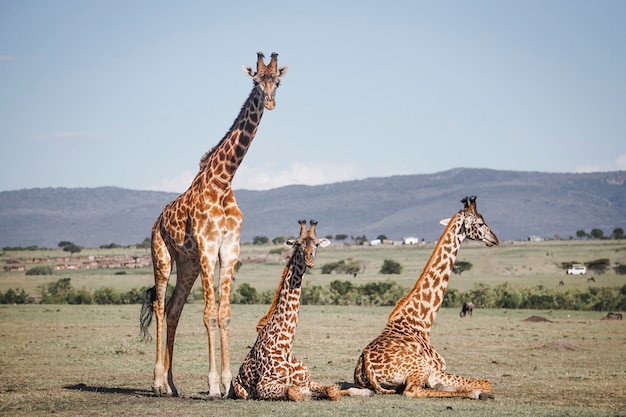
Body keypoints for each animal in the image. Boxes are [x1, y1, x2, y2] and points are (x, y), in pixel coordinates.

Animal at [138, 51, 286, 396]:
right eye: (256, 81)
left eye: (278, 81)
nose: (270, 102)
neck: (222, 181)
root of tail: (157, 221)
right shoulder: (208, 248)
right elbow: (209, 315)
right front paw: (214, 385)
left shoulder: (229, 250)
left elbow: (225, 314)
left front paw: (229, 382)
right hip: (162, 256)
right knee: (161, 306)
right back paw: (157, 382)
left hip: (188, 264)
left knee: (175, 309)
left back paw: (172, 385)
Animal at [233, 221, 370, 400]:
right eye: (298, 244)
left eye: (316, 244)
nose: (309, 260)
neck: (285, 344)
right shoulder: (264, 386)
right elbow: (294, 392)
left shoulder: (307, 382)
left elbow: (333, 390)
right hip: (241, 391)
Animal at [354, 197, 500, 398]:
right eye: (479, 223)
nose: (495, 239)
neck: (422, 322)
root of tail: (367, 366)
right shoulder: (436, 371)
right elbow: (487, 383)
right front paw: (476, 391)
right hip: (420, 368)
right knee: (412, 391)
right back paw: (473, 393)